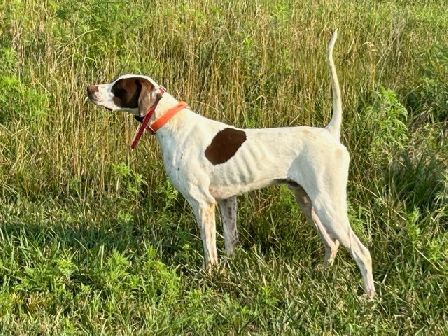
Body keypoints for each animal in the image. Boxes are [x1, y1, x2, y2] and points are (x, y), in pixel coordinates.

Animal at [86, 31, 374, 298]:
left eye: (118, 87)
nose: (89, 89)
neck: (173, 123)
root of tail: (329, 133)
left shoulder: (202, 203)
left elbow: (209, 248)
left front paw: (209, 276)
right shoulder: (226, 200)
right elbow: (230, 242)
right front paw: (228, 270)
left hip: (328, 204)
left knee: (362, 251)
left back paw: (368, 296)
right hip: (307, 201)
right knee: (332, 243)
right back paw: (324, 270)